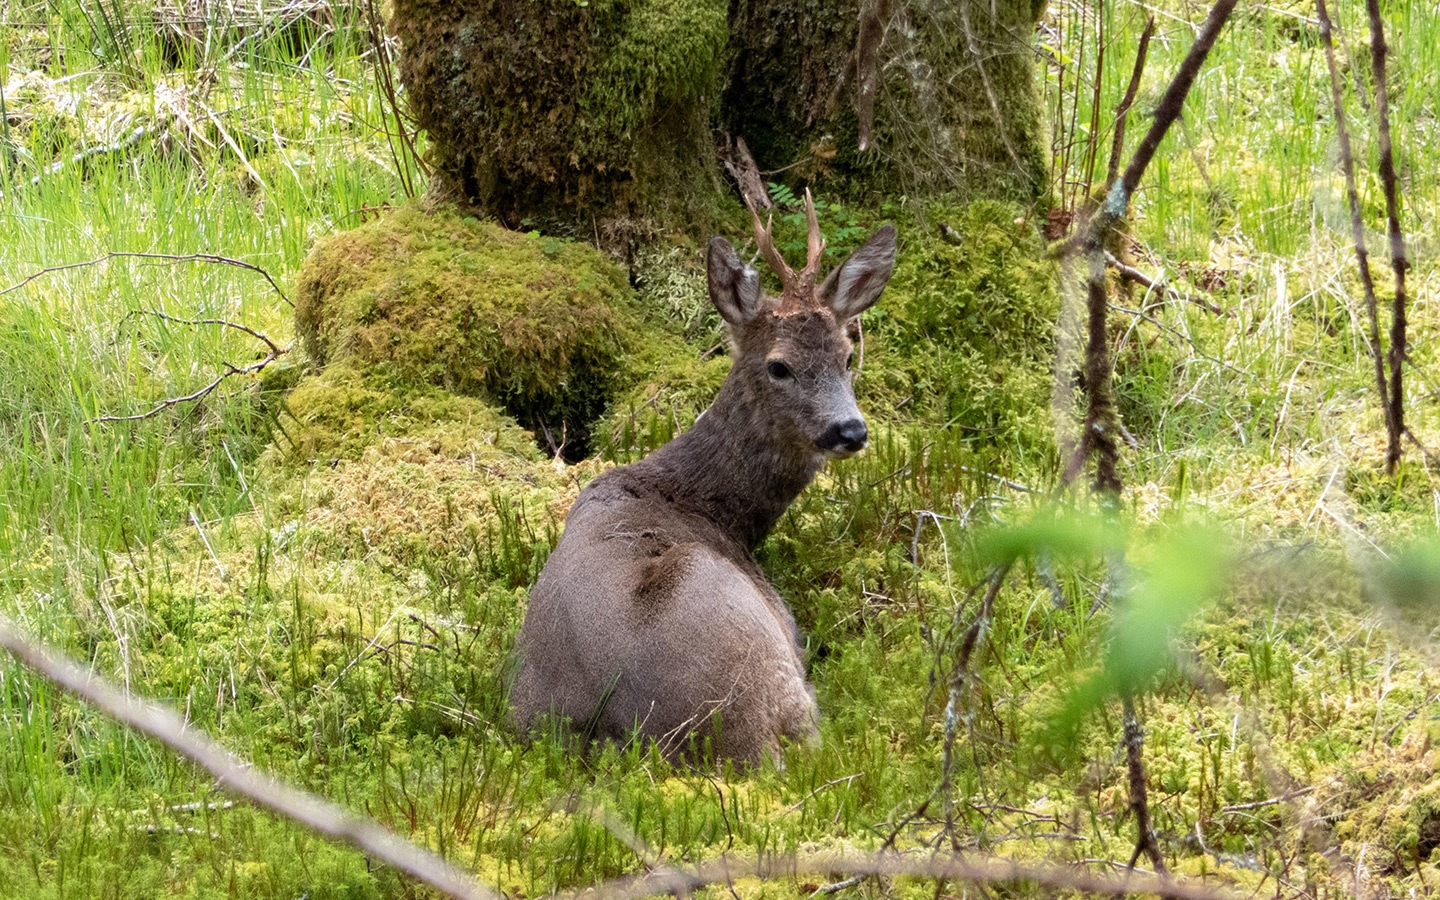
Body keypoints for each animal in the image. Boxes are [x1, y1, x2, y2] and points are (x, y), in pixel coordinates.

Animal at [506, 195, 887, 766]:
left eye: (846, 357)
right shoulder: (785, 622)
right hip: (767, 668)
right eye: (779, 366)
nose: (850, 429)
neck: (715, 509)